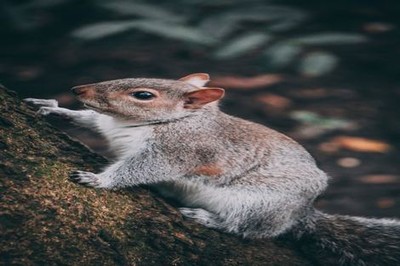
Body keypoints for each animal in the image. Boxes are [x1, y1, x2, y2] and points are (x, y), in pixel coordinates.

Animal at [25, 73, 400, 266]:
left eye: (143, 95)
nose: (77, 89)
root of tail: (304, 214)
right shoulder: (107, 126)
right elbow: (89, 120)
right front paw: (55, 109)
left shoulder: (177, 152)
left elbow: (140, 168)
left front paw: (99, 179)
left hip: (258, 204)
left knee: (245, 229)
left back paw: (206, 218)